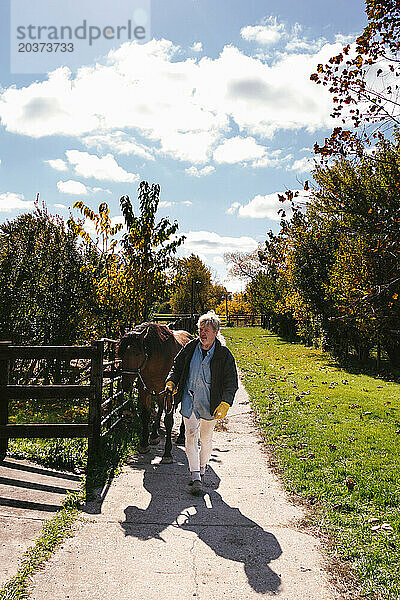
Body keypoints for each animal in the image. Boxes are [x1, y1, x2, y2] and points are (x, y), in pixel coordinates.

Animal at [117, 324, 192, 464]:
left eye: (137, 353)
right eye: (121, 353)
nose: (126, 385)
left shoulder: (168, 392)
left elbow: (168, 420)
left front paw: (167, 453)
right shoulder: (145, 390)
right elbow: (145, 415)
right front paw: (144, 444)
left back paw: (181, 435)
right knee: (160, 407)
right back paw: (154, 435)